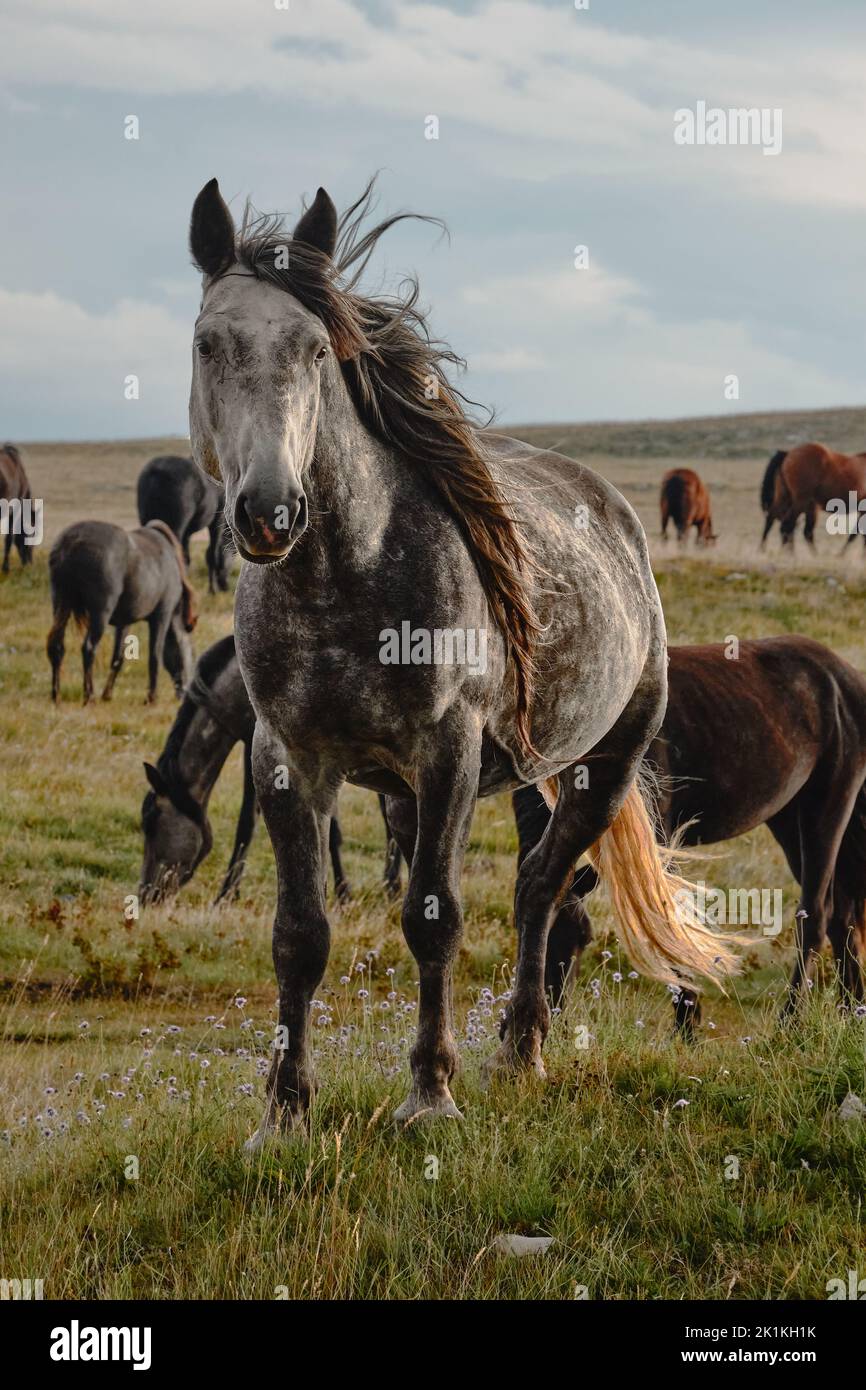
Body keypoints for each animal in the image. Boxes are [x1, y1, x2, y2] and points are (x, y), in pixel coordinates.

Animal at [47, 519, 197, 704]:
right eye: (193, 654)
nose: (186, 694)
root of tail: (70, 542)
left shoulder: (124, 622)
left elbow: (118, 658)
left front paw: (107, 694)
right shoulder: (162, 616)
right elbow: (155, 655)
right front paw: (151, 697)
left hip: (61, 606)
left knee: (57, 647)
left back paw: (56, 695)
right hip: (100, 614)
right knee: (89, 648)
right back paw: (89, 696)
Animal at [137, 454, 233, 593]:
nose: (225, 586)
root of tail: (155, 473)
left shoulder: (187, 533)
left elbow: (187, 558)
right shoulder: (217, 521)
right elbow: (212, 555)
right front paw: (212, 589)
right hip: (175, 529)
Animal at [187, 175, 738, 1141]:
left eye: (315, 350)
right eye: (208, 343)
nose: (268, 513)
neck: (345, 579)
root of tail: (616, 513)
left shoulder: (447, 753)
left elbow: (434, 918)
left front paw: (430, 1097)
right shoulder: (287, 759)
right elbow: (299, 934)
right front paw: (284, 1111)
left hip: (602, 766)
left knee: (540, 890)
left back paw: (521, 1050)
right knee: (534, 889)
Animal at [514, 636, 866, 1022]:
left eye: (583, 938)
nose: (552, 1013)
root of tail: (843, 676)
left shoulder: (659, 837)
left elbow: (668, 918)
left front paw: (688, 1021)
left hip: (827, 808)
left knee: (816, 917)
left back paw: (790, 1023)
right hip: (789, 820)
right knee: (843, 918)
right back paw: (852, 1012)